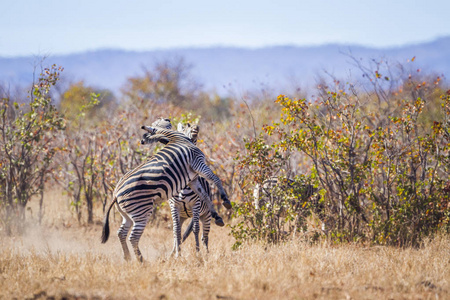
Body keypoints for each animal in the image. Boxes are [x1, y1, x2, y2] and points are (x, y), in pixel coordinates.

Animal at [100, 121, 230, 260]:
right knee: (133, 237)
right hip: (141, 211)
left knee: (121, 233)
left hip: (127, 214)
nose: (196, 127)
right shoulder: (197, 162)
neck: (177, 138)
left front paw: (217, 215)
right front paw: (226, 200)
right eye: (187, 125)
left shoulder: (192, 179)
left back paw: (128, 258)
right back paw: (142, 261)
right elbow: (216, 179)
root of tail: (116, 194)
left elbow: (204, 195)